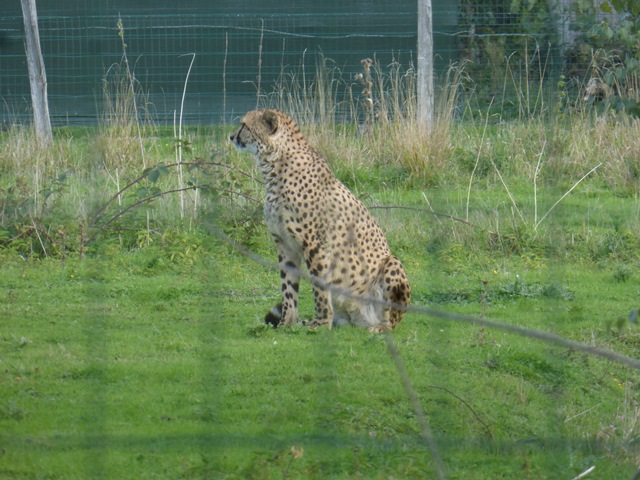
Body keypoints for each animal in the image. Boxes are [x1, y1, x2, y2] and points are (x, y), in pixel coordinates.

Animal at [229, 109, 410, 332]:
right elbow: (288, 288)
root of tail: (358, 319)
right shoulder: (284, 244)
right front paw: (287, 323)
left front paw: (322, 323)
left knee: (392, 319)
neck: (275, 164)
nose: (231, 137)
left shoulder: (315, 245)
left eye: (244, 125)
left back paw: (380, 328)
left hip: (392, 263)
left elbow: (319, 287)